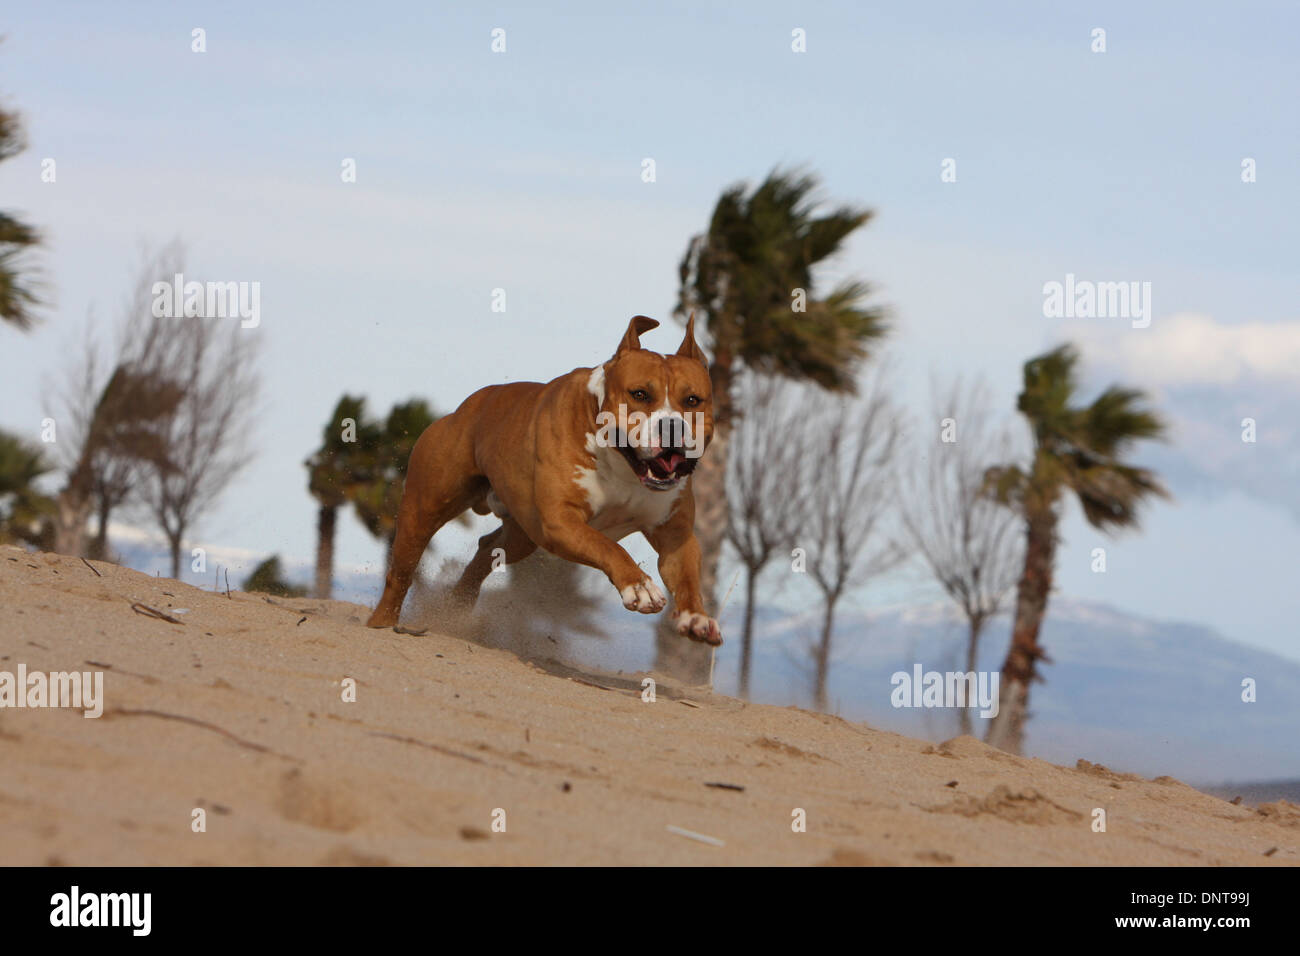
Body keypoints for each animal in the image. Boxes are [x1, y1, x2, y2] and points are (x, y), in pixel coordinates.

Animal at [369, 317, 722, 647]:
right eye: (639, 394)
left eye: (693, 400)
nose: (672, 427)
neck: (624, 468)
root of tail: (466, 407)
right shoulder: (560, 521)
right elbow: (607, 545)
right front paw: (638, 585)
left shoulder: (674, 533)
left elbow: (687, 576)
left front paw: (696, 617)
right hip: (423, 510)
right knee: (401, 571)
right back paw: (382, 622)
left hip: (523, 535)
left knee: (486, 551)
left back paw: (458, 610)